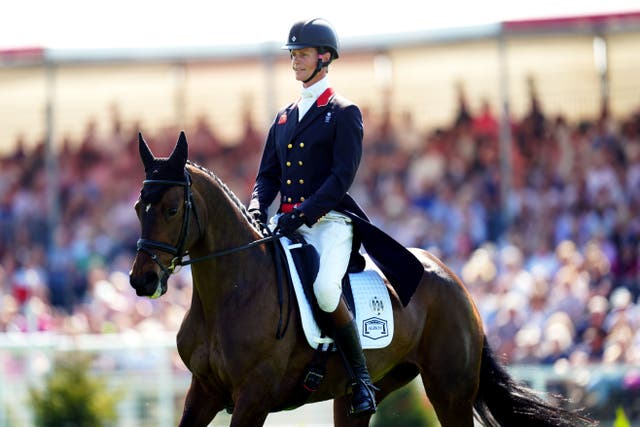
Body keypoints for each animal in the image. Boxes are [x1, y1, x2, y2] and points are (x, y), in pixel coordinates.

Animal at [129, 131, 596, 427]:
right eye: (138, 207)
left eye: (172, 208)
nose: (142, 281)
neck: (230, 295)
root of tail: (453, 279)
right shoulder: (202, 391)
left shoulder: (253, 396)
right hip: (363, 394)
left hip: (450, 391)